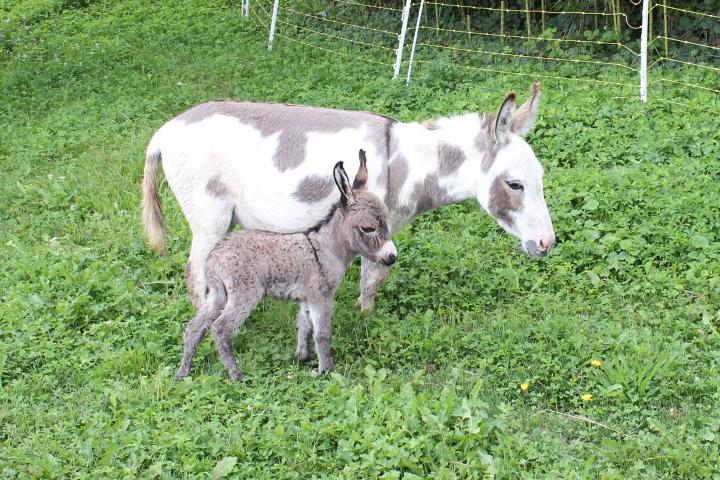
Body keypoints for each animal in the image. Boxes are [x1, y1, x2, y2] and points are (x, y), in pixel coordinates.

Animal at [176, 152, 396, 380]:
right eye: (368, 228)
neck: (328, 248)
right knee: (220, 328)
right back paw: (236, 376)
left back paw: (183, 373)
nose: (392, 257)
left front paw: (302, 356)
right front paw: (326, 370)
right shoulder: (321, 295)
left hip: (217, 294)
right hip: (245, 294)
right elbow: (322, 333)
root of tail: (213, 258)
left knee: (194, 327)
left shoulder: (307, 297)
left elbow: (304, 325)